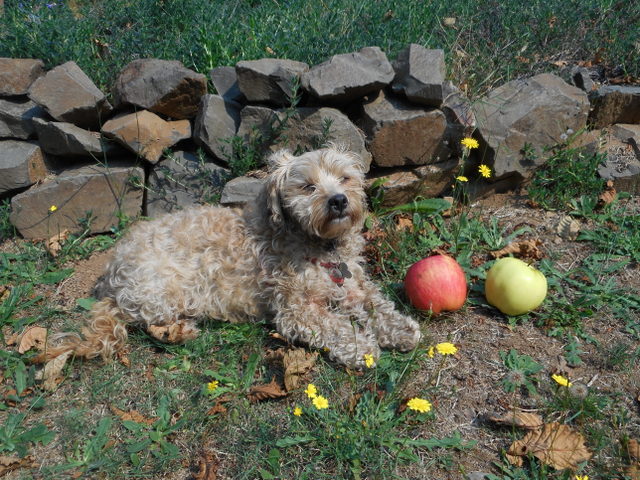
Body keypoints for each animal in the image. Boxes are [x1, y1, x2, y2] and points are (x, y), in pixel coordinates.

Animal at [46, 146, 424, 368]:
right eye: (308, 186)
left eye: (345, 178)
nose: (339, 200)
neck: (319, 243)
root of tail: (112, 272)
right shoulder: (295, 310)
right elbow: (335, 326)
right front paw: (362, 348)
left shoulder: (353, 286)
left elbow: (377, 304)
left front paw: (400, 329)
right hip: (165, 290)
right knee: (141, 321)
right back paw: (178, 331)